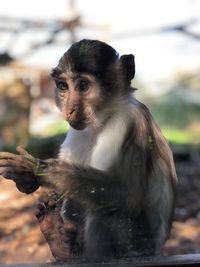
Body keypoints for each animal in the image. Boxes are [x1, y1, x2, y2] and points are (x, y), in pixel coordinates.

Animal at [0, 39, 177, 262]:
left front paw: (43, 170)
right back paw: (58, 240)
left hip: (137, 245)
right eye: (63, 86)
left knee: (106, 209)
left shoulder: (127, 121)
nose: (69, 110)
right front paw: (26, 177)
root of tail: (158, 250)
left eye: (83, 85)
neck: (104, 117)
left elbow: (128, 193)